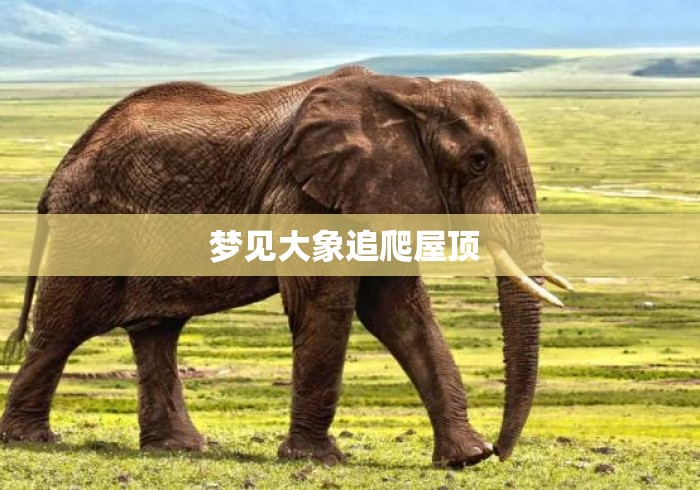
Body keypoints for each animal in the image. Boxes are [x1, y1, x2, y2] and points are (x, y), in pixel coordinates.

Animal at [0, 66, 570, 467]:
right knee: (62, 327)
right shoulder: (303, 194)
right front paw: (319, 461)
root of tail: (60, 170)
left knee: (155, 331)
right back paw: (32, 440)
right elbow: (327, 304)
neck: (411, 89)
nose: (502, 451)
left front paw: (465, 460)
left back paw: (178, 449)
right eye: (478, 160)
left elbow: (399, 310)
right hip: (93, 223)